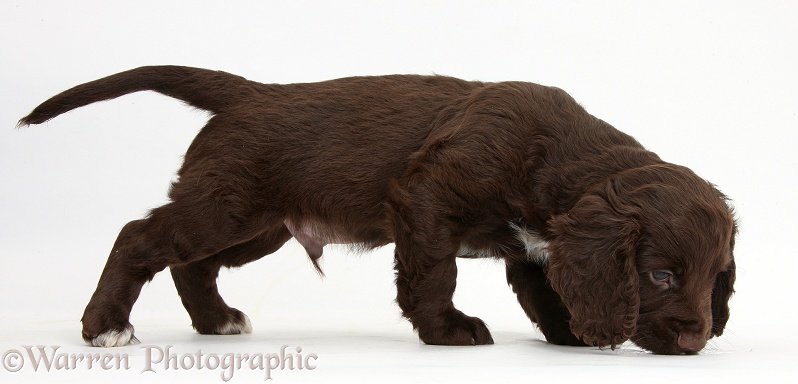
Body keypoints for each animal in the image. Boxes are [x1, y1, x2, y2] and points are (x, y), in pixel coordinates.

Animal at [20, 65, 736, 354]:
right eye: (661, 275)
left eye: (713, 280)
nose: (695, 341)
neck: (556, 154)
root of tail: (251, 93)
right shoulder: (425, 199)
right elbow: (433, 274)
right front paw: (448, 330)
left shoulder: (544, 248)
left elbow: (550, 291)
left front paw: (572, 334)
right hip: (224, 209)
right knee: (139, 235)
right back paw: (105, 327)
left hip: (258, 227)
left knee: (191, 264)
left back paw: (216, 319)